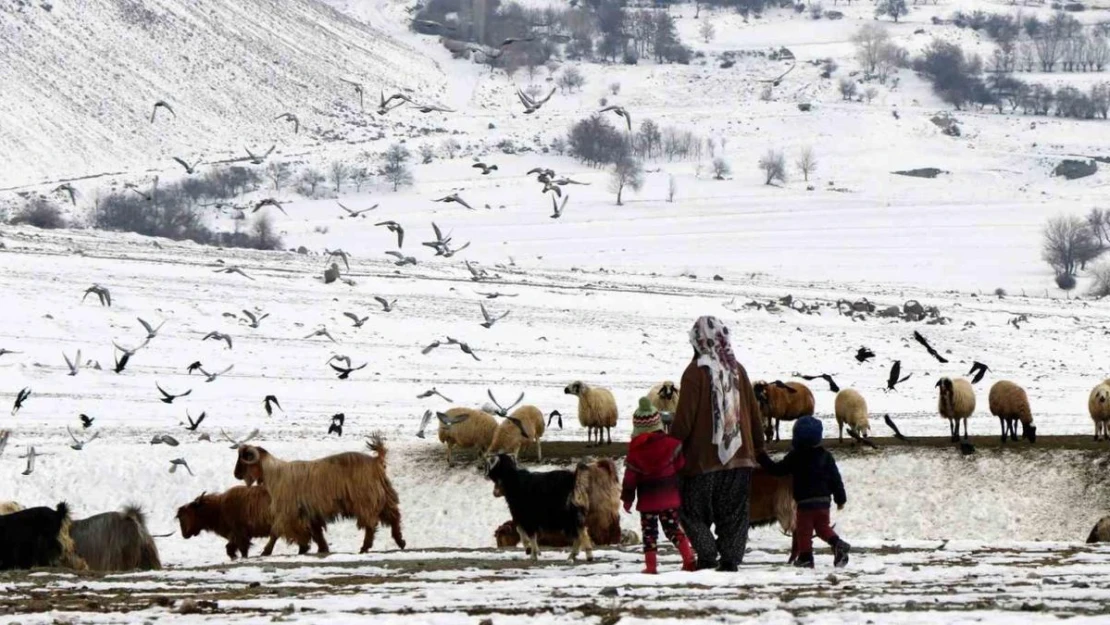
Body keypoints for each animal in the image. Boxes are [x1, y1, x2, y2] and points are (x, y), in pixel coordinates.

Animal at [234, 435, 408, 557]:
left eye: (244, 458)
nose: (236, 474)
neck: (275, 475)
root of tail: (376, 461)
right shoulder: (309, 512)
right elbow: (316, 533)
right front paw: (321, 549)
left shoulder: (288, 512)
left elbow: (275, 532)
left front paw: (266, 551)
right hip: (383, 497)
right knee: (394, 517)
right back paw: (400, 541)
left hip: (365, 499)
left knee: (371, 524)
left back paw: (365, 547)